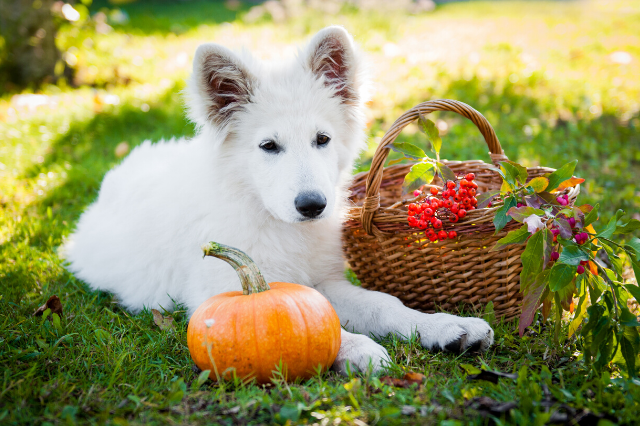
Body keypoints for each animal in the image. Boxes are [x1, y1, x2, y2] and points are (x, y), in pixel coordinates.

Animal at [65, 25, 492, 372]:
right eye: (269, 146)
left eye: (322, 139)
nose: (313, 206)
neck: (274, 221)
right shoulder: (220, 293)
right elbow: (317, 327)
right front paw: (357, 348)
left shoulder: (324, 281)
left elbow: (383, 303)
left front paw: (443, 325)